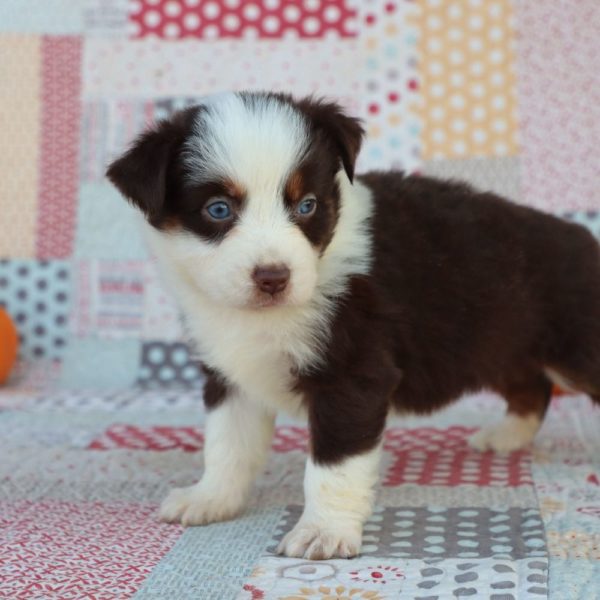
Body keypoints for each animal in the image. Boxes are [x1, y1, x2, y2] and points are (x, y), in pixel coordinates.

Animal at [108, 91, 600, 560]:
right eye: (217, 209)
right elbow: (228, 443)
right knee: (532, 386)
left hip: (572, 345)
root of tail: (584, 238)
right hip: (502, 343)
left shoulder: (352, 373)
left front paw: (323, 532)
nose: (273, 277)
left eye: (306, 205)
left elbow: (334, 465)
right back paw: (506, 436)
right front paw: (210, 498)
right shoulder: (232, 375)